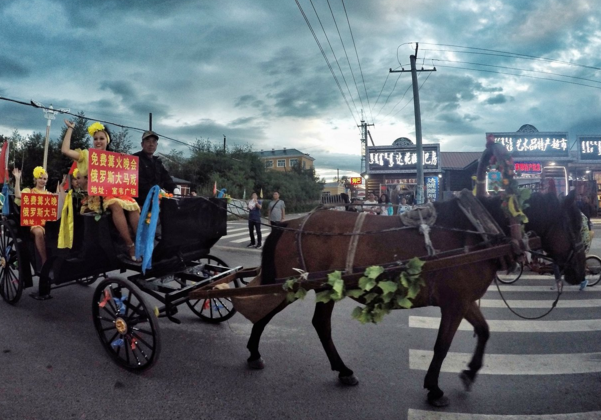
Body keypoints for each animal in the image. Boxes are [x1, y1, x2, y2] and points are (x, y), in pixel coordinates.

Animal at [244, 191, 584, 406]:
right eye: (576, 227)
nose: (580, 273)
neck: (475, 233)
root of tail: (288, 223)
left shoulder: (463, 301)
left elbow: (484, 331)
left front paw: (470, 372)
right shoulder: (454, 304)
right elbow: (442, 346)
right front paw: (434, 389)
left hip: (323, 288)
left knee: (318, 325)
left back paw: (342, 371)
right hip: (292, 284)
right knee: (267, 313)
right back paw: (255, 352)